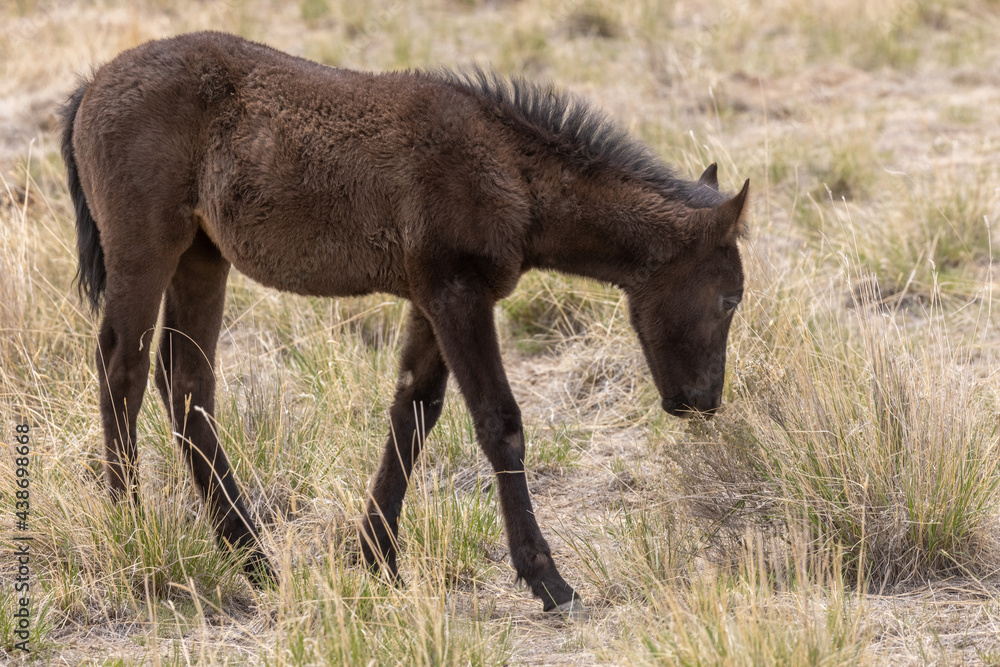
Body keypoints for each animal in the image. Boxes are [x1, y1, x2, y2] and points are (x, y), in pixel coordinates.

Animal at [60, 31, 747, 616]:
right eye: (731, 299)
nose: (701, 402)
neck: (509, 170)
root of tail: (91, 85)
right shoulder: (457, 295)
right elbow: (499, 423)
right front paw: (547, 579)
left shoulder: (430, 300)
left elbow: (413, 411)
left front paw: (376, 558)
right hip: (145, 251)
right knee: (122, 368)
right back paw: (129, 525)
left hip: (202, 257)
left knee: (186, 384)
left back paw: (250, 554)